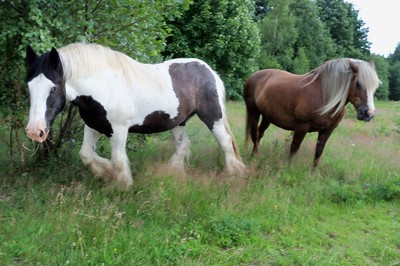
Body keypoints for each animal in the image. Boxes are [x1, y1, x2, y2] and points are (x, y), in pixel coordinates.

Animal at [244, 58, 382, 166]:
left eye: (375, 87)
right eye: (358, 83)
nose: (369, 114)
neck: (324, 95)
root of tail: (253, 76)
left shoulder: (327, 130)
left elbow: (318, 152)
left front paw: (312, 173)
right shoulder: (302, 126)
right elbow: (294, 149)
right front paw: (288, 169)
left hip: (267, 116)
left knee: (260, 134)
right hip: (253, 112)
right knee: (254, 133)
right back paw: (253, 158)